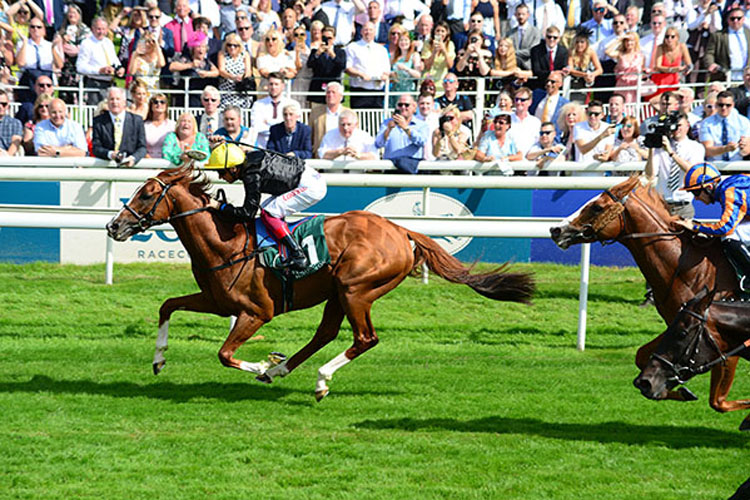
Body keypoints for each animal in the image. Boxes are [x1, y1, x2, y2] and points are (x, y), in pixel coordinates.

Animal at [107, 166, 540, 400]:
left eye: (146, 194)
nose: (114, 226)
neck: (224, 242)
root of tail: (401, 231)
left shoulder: (256, 312)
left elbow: (225, 354)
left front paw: (261, 361)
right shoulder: (217, 301)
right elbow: (167, 305)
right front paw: (158, 359)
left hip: (356, 288)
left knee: (364, 338)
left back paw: (317, 379)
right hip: (337, 292)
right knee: (326, 333)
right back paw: (283, 371)